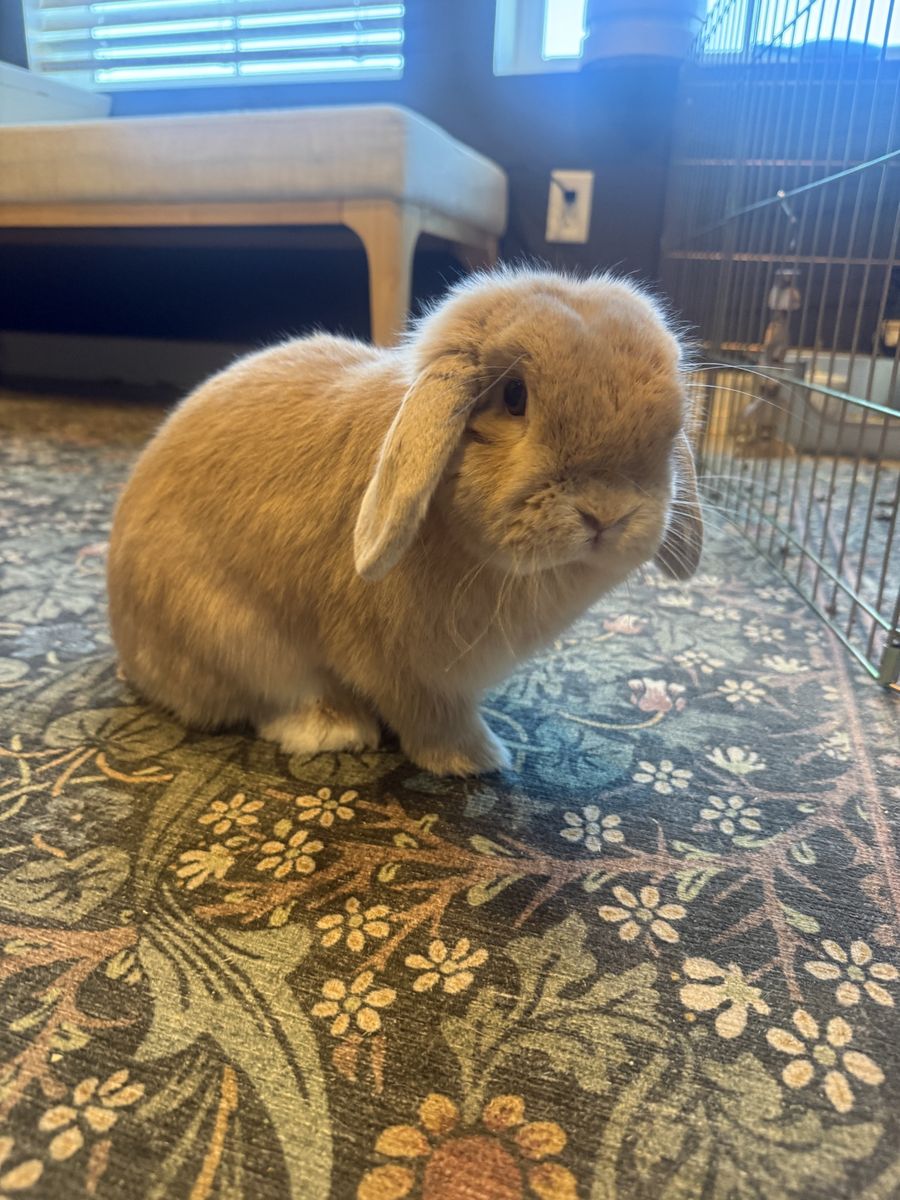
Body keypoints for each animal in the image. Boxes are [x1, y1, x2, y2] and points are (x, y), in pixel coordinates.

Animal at [107, 266, 702, 777]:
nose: (607, 512)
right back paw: (334, 729)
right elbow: (431, 715)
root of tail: (129, 647)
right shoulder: (401, 668)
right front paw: (478, 759)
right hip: (233, 636)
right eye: (514, 396)